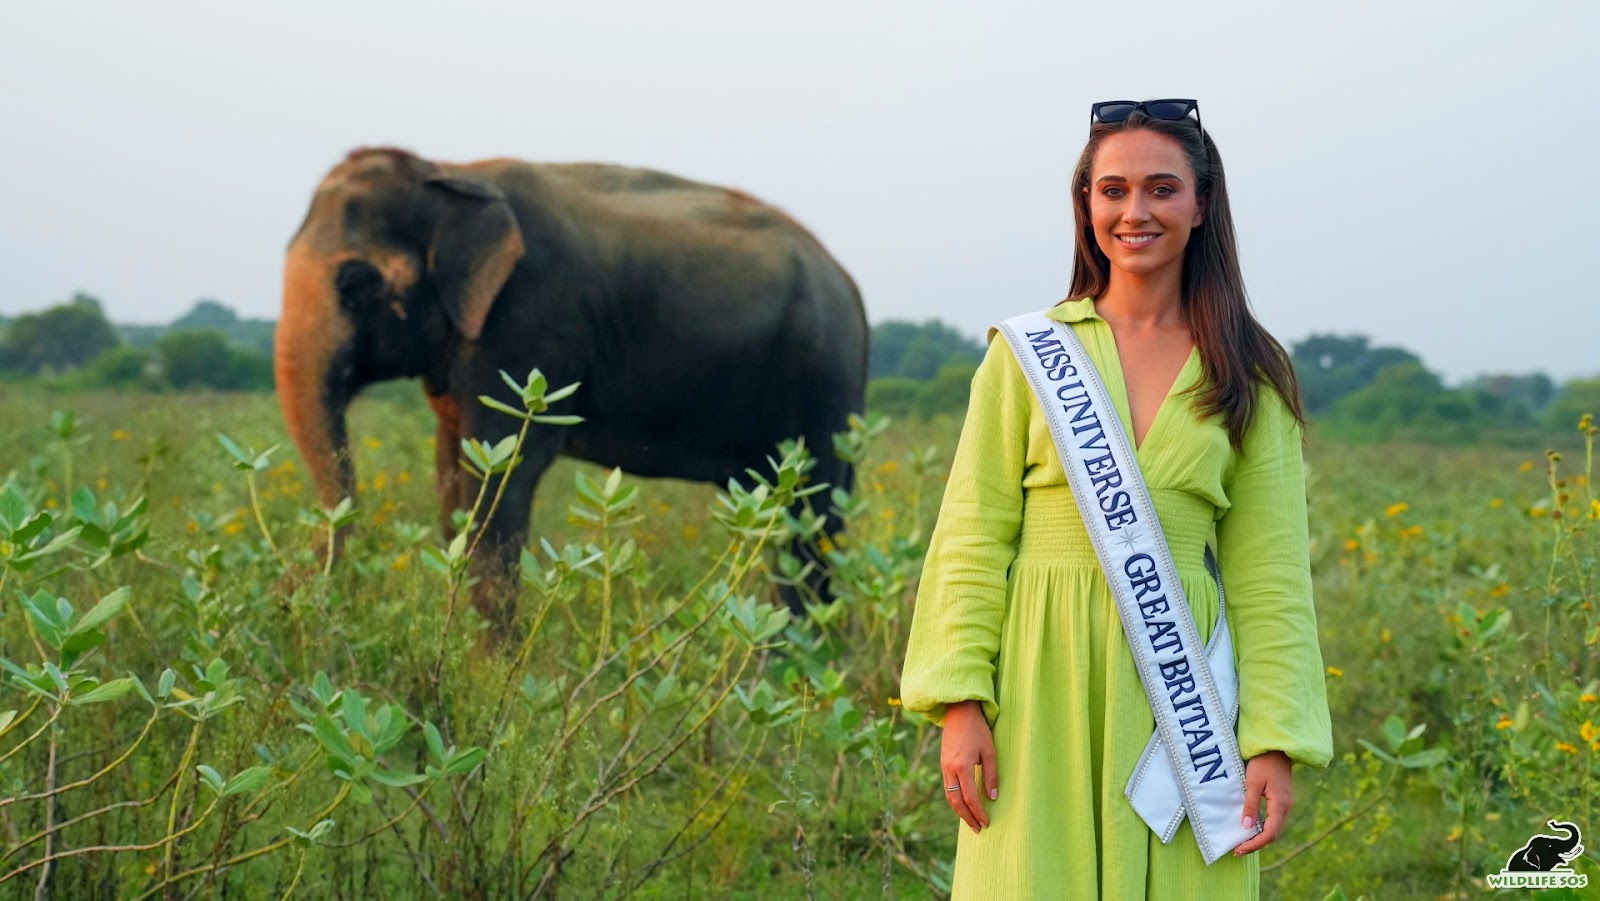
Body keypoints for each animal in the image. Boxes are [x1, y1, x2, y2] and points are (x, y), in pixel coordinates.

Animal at [280, 148, 870, 624]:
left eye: (356, 282)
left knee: (809, 522)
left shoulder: (528, 321)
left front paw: (489, 678)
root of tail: (850, 284)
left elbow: (501, 478)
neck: (448, 172)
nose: (293, 605)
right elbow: (455, 478)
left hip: (821, 381)